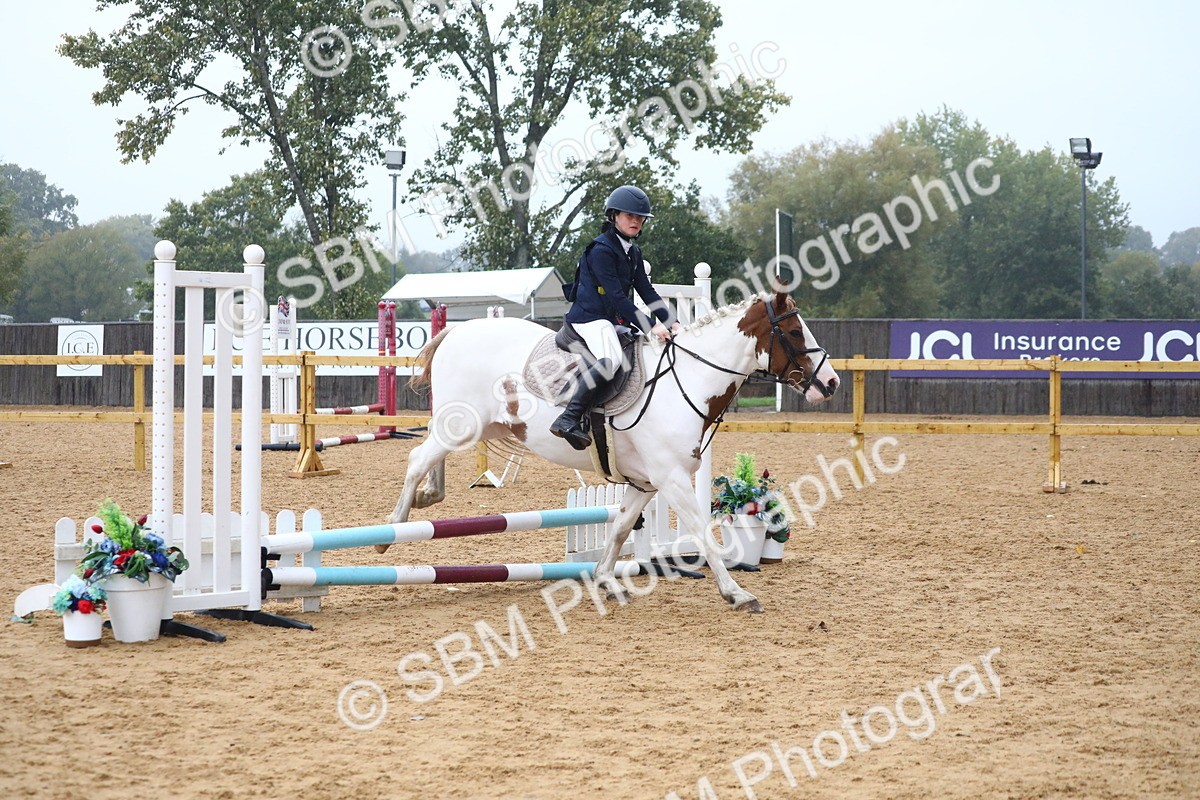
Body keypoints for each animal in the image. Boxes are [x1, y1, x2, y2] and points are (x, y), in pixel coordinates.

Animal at [385, 290, 840, 613]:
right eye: (794, 333)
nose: (832, 383)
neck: (688, 379)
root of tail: (457, 331)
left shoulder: (646, 483)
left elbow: (620, 527)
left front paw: (605, 580)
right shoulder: (672, 479)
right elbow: (702, 533)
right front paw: (737, 593)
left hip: (473, 425)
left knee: (433, 457)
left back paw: (426, 497)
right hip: (461, 423)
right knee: (417, 458)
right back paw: (391, 530)